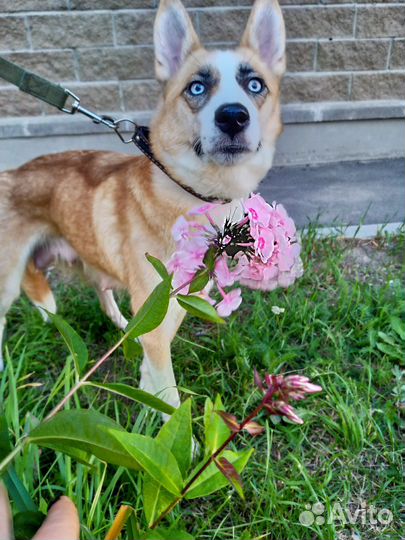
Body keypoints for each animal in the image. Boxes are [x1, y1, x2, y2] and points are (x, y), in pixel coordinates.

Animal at [0, 0, 284, 410]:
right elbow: (171, 401)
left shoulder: (170, 310)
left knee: (102, 291)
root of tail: (11, 173)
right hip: (6, 283)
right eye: (197, 87)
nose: (233, 116)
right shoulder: (158, 326)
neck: (191, 194)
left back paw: (122, 326)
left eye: (255, 85)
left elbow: (153, 379)